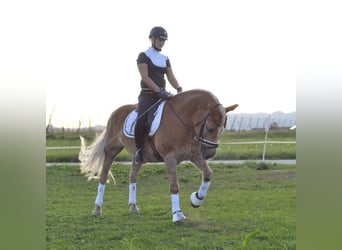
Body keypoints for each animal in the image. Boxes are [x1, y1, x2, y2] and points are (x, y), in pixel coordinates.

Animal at [79, 89, 238, 223]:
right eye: (210, 128)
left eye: (222, 129)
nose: (210, 154)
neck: (183, 121)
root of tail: (114, 113)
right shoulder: (170, 157)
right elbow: (174, 186)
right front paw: (177, 214)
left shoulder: (195, 155)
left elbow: (208, 174)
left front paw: (196, 199)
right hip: (112, 150)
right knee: (103, 176)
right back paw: (97, 209)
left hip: (137, 157)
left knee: (132, 177)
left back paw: (133, 207)